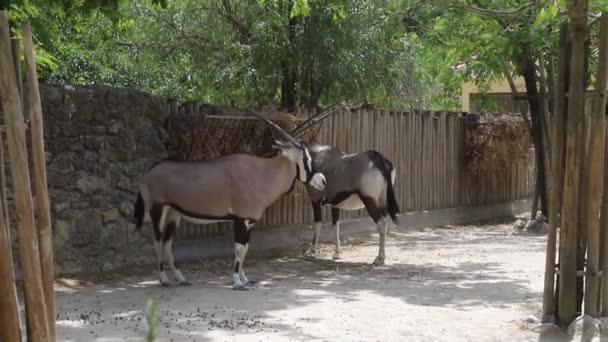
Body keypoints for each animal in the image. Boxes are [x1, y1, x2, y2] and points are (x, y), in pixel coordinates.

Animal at [131, 111, 326, 290]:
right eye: (305, 159)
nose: (323, 181)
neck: (262, 173)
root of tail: (147, 174)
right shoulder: (241, 220)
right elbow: (239, 249)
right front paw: (238, 282)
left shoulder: (249, 222)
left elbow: (245, 249)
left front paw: (246, 279)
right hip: (157, 211)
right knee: (157, 243)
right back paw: (163, 280)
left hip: (174, 214)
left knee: (167, 244)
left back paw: (181, 279)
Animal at [290, 108, 400, 266]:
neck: (317, 156)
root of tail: (379, 160)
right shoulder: (335, 204)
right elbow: (336, 226)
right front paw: (337, 253)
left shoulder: (315, 199)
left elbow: (317, 224)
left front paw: (311, 251)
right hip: (382, 200)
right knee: (385, 223)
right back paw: (381, 257)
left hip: (369, 200)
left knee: (381, 224)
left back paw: (379, 258)